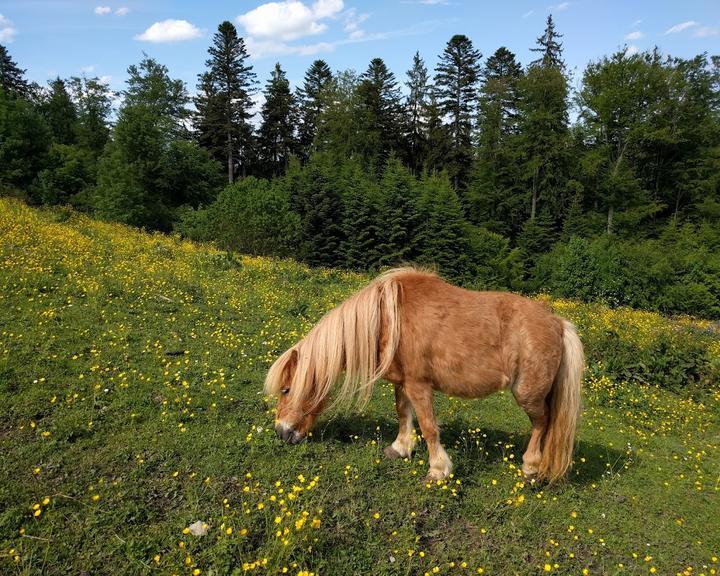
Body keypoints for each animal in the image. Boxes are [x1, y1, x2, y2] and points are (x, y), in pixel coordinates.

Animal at [264, 268, 584, 484]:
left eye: (286, 390)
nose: (282, 432)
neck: (389, 319)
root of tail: (558, 323)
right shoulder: (403, 382)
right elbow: (403, 414)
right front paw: (400, 448)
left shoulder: (420, 385)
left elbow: (429, 427)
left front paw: (438, 470)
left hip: (528, 394)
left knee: (542, 423)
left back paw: (530, 468)